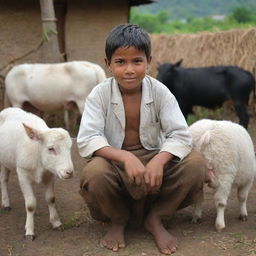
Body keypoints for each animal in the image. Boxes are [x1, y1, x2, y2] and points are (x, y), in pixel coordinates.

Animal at [0, 107, 74, 239]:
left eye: (69, 147)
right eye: (51, 149)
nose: (69, 172)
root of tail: (8, 109)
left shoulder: (50, 175)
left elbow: (51, 198)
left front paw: (56, 222)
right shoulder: (22, 173)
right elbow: (30, 205)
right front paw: (29, 231)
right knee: (3, 180)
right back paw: (6, 203)